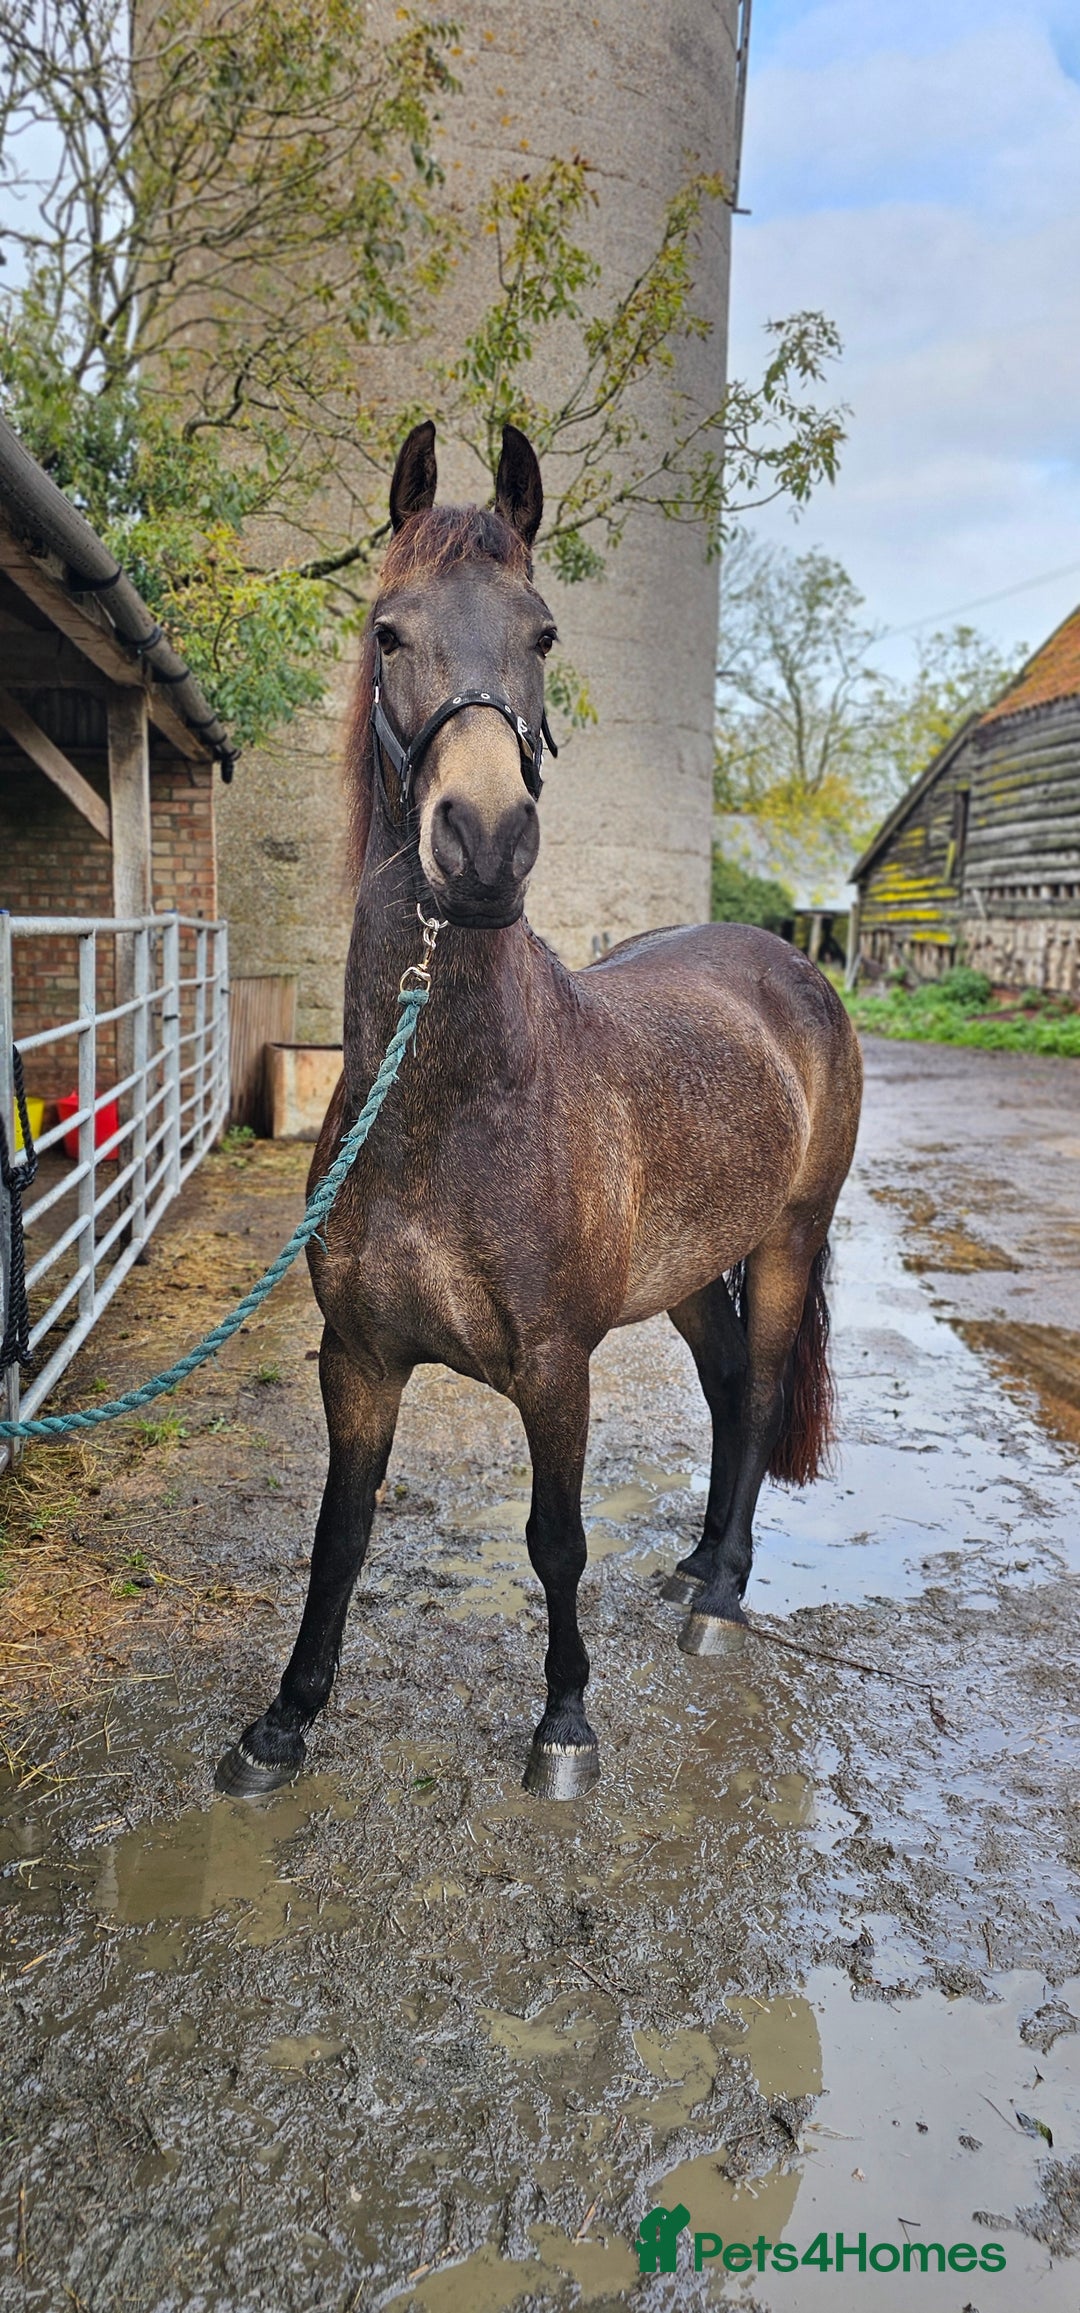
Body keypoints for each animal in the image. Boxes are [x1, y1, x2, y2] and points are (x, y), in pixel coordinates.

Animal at [216, 420, 862, 1803]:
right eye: (388, 631)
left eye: (544, 634)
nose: (483, 843)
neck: (446, 1107)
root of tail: (789, 966)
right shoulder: (357, 1360)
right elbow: (339, 1537)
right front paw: (284, 1721)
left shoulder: (559, 1368)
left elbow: (554, 1540)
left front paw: (566, 1722)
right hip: (692, 1271)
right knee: (729, 1388)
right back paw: (695, 1561)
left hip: (787, 1240)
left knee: (763, 1394)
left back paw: (720, 1598)